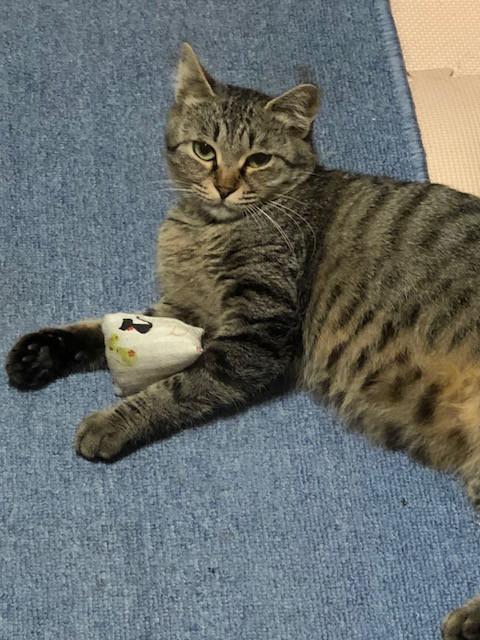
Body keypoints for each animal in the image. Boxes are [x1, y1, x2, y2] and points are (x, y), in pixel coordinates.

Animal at [5, 43, 480, 638]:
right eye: (204, 151)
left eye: (257, 160)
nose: (226, 185)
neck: (203, 230)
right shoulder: (178, 315)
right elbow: (100, 330)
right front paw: (43, 352)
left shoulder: (256, 336)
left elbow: (176, 389)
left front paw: (111, 423)